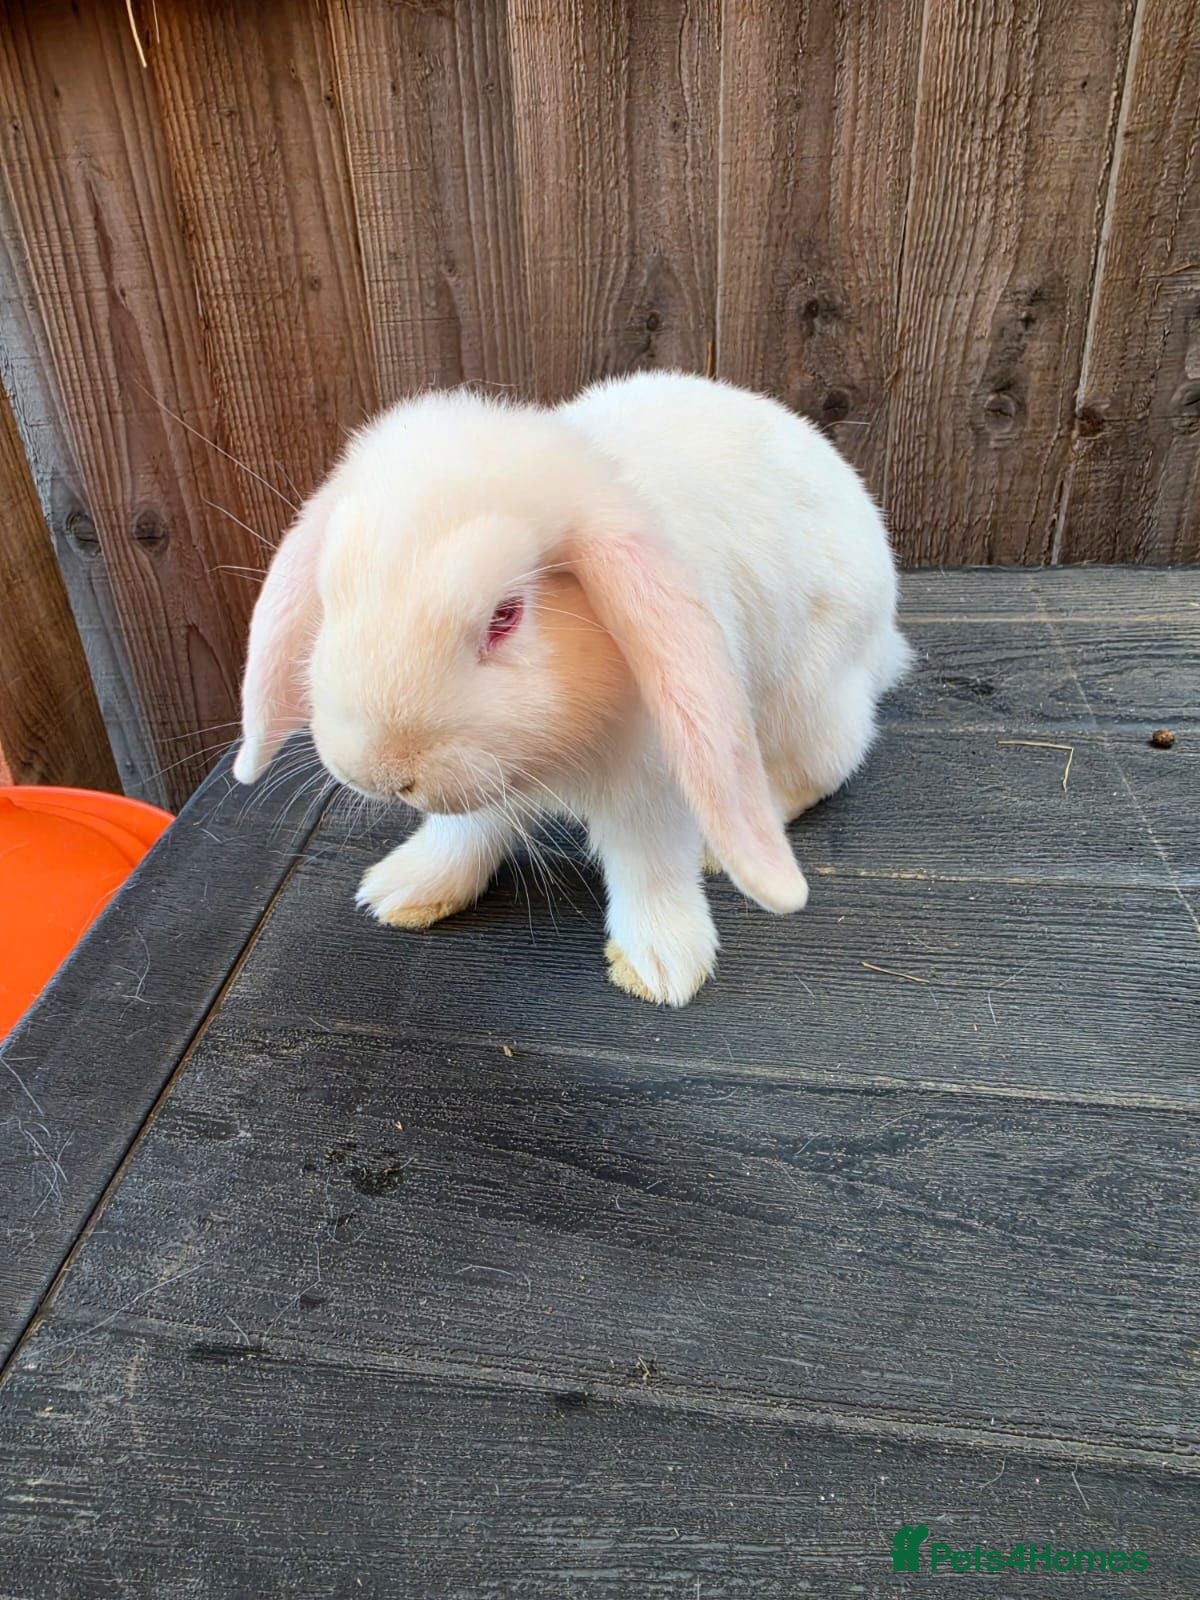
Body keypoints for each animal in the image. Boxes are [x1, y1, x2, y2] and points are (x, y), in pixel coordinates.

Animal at [233, 371, 910, 1006]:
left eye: (505, 617)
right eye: (331, 596)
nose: (378, 773)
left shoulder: (653, 783)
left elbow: (650, 868)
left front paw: (659, 966)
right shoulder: (487, 783)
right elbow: (465, 833)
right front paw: (405, 890)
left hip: (811, 700)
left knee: (818, 771)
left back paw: (723, 846)